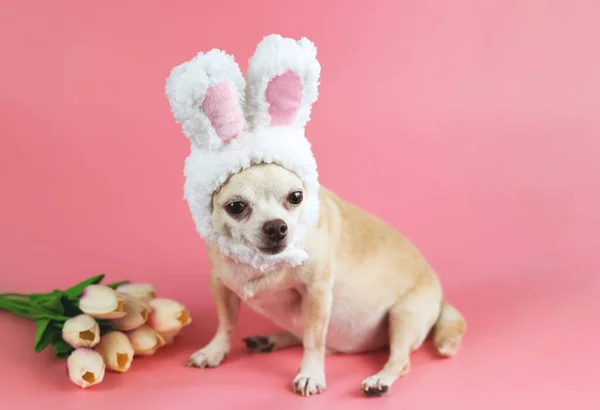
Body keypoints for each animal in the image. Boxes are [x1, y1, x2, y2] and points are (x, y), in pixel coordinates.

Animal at [185, 163, 466, 398]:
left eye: (295, 197)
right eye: (236, 207)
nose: (276, 226)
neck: (259, 263)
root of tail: (441, 297)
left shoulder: (316, 293)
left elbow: (314, 340)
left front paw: (310, 374)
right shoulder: (220, 284)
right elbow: (226, 324)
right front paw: (214, 351)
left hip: (403, 316)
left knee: (399, 360)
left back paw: (379, 380)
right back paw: (269, 340)